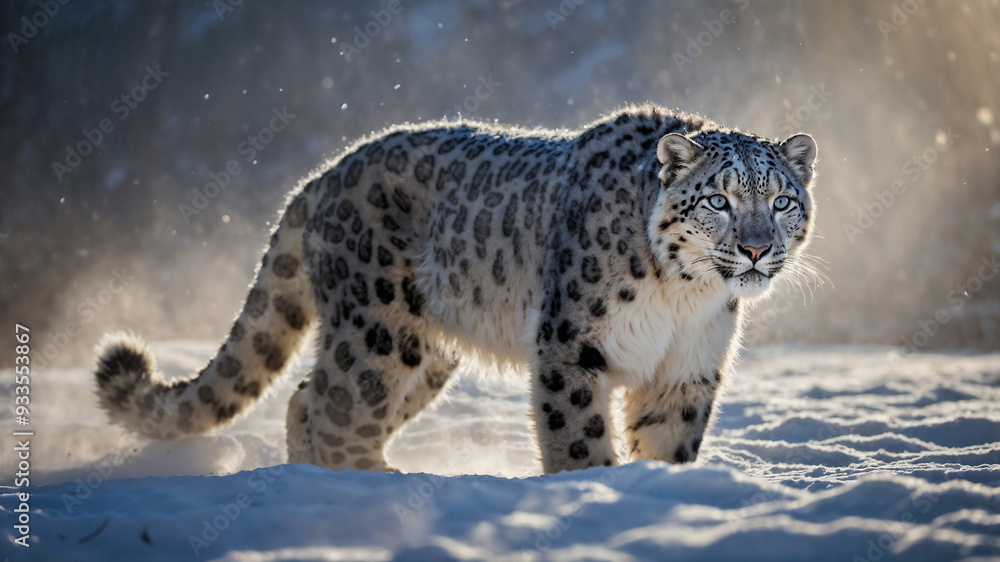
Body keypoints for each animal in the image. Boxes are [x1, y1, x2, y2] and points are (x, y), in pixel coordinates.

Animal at [93, 103, 818, 474]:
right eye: (719, 200)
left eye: (781, 200)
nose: (756, 247)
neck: (683, 299)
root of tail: (322, 175)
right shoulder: (571, 346)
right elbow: (577, 436)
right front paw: (592, 488)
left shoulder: (688, 366)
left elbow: (670, 441)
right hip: (376, 331)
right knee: (335, 404)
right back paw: (366, 485)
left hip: (425, 355)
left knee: (306, 395)